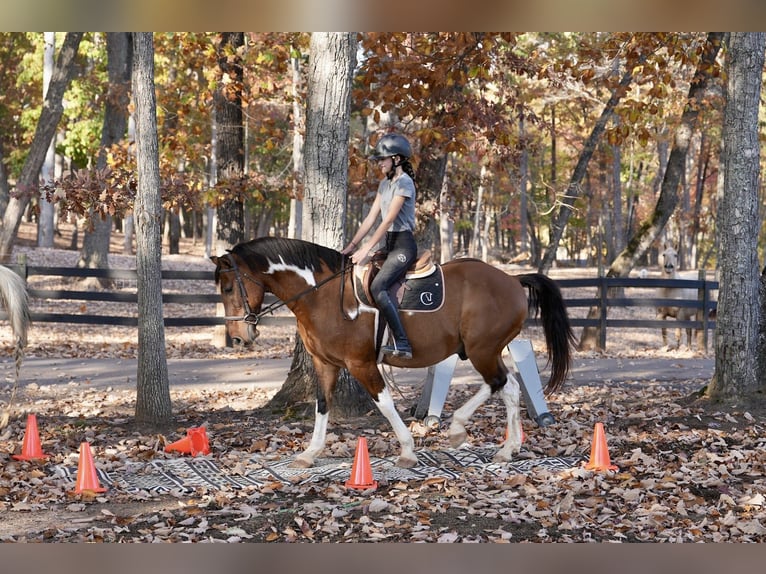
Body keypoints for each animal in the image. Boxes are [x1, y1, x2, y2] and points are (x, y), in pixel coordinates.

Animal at [211, 237, 575, 468]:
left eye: (228, 288)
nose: (239, 337)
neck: (321, 295)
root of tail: (512, 280)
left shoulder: (361, 363)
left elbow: (383, 404)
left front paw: (408, 451)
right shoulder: (325, 363)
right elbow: (322, 405)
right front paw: (310, 453)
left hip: (480, 349)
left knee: (499, 382)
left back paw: (460, 428)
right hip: (486, 350)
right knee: (508, 386)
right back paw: (507, 448)